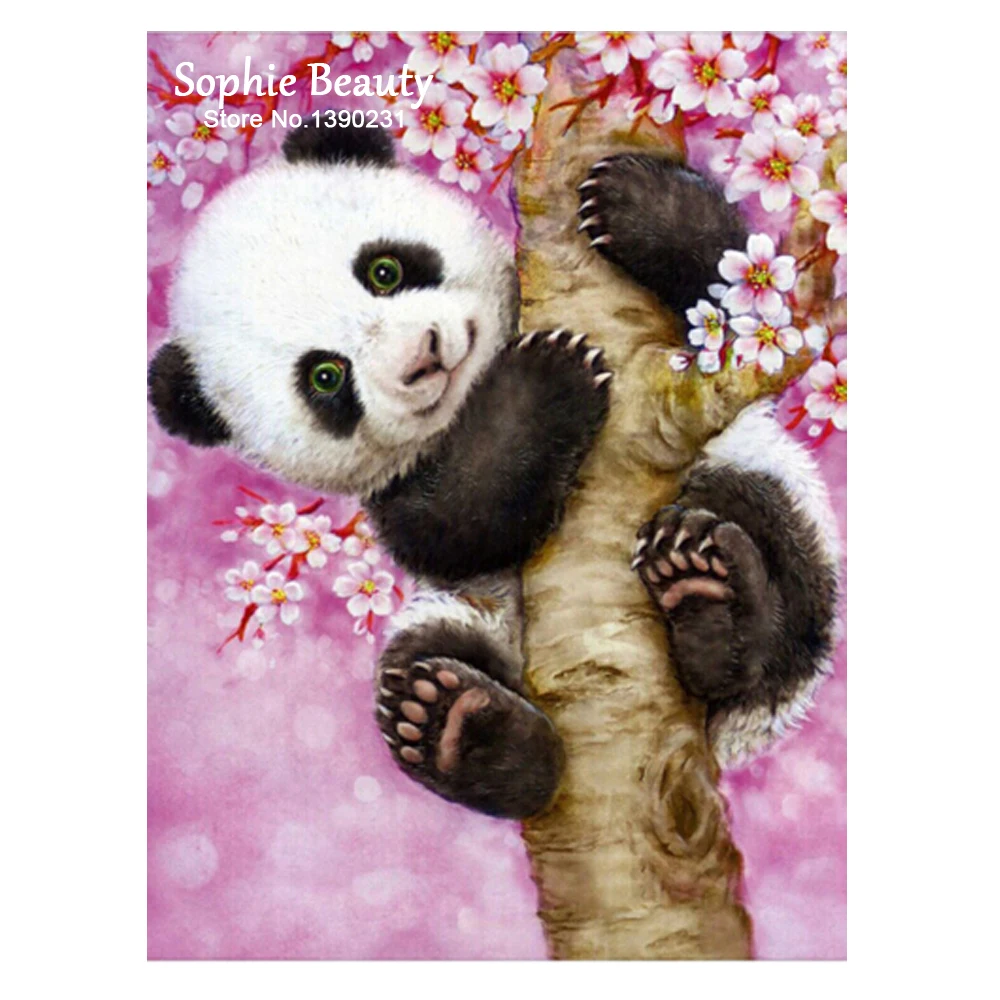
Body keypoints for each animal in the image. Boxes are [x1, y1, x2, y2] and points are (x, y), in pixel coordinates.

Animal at [148, 123, 840, 820]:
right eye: (325, 377)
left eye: (384, 270)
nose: (424, 356)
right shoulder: (395, 489)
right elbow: (457, 525)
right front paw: (545, 380)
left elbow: (738, 300)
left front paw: (634, 200)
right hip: (467, 621)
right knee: (423, 664)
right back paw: (467, 731)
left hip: (777, 498)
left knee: (769, 546)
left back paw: (711, 601)